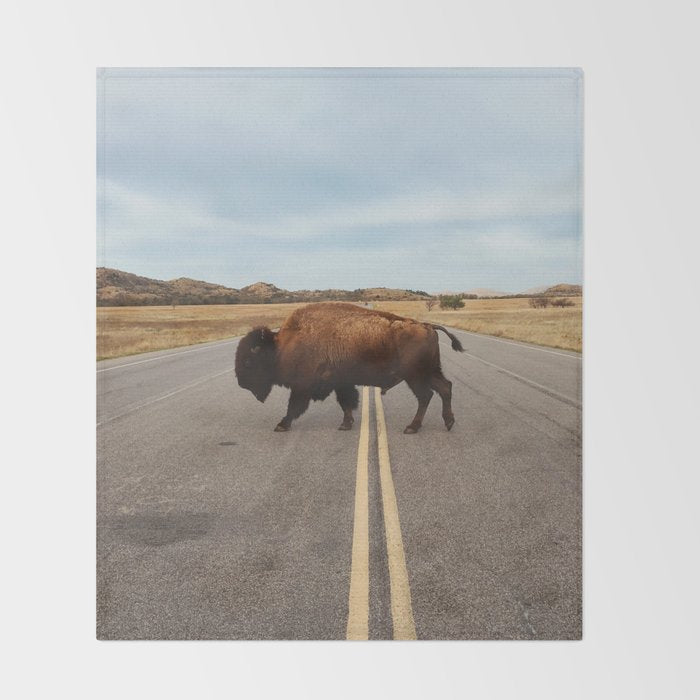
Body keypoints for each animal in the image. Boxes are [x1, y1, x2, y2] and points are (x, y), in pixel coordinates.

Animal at [235, 302, 464, 433]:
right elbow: (346, 403)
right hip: (429, 373)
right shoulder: (341, 383)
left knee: (426, 396)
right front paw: (346, 424)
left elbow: (294, 407)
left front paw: (281, 425)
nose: (241, 383)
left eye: (248, 362)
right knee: (445, 388)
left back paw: (412, 427)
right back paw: (449, 422)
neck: (282, 345)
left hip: (415, 376)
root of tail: (427, 326)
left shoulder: (303, 387)